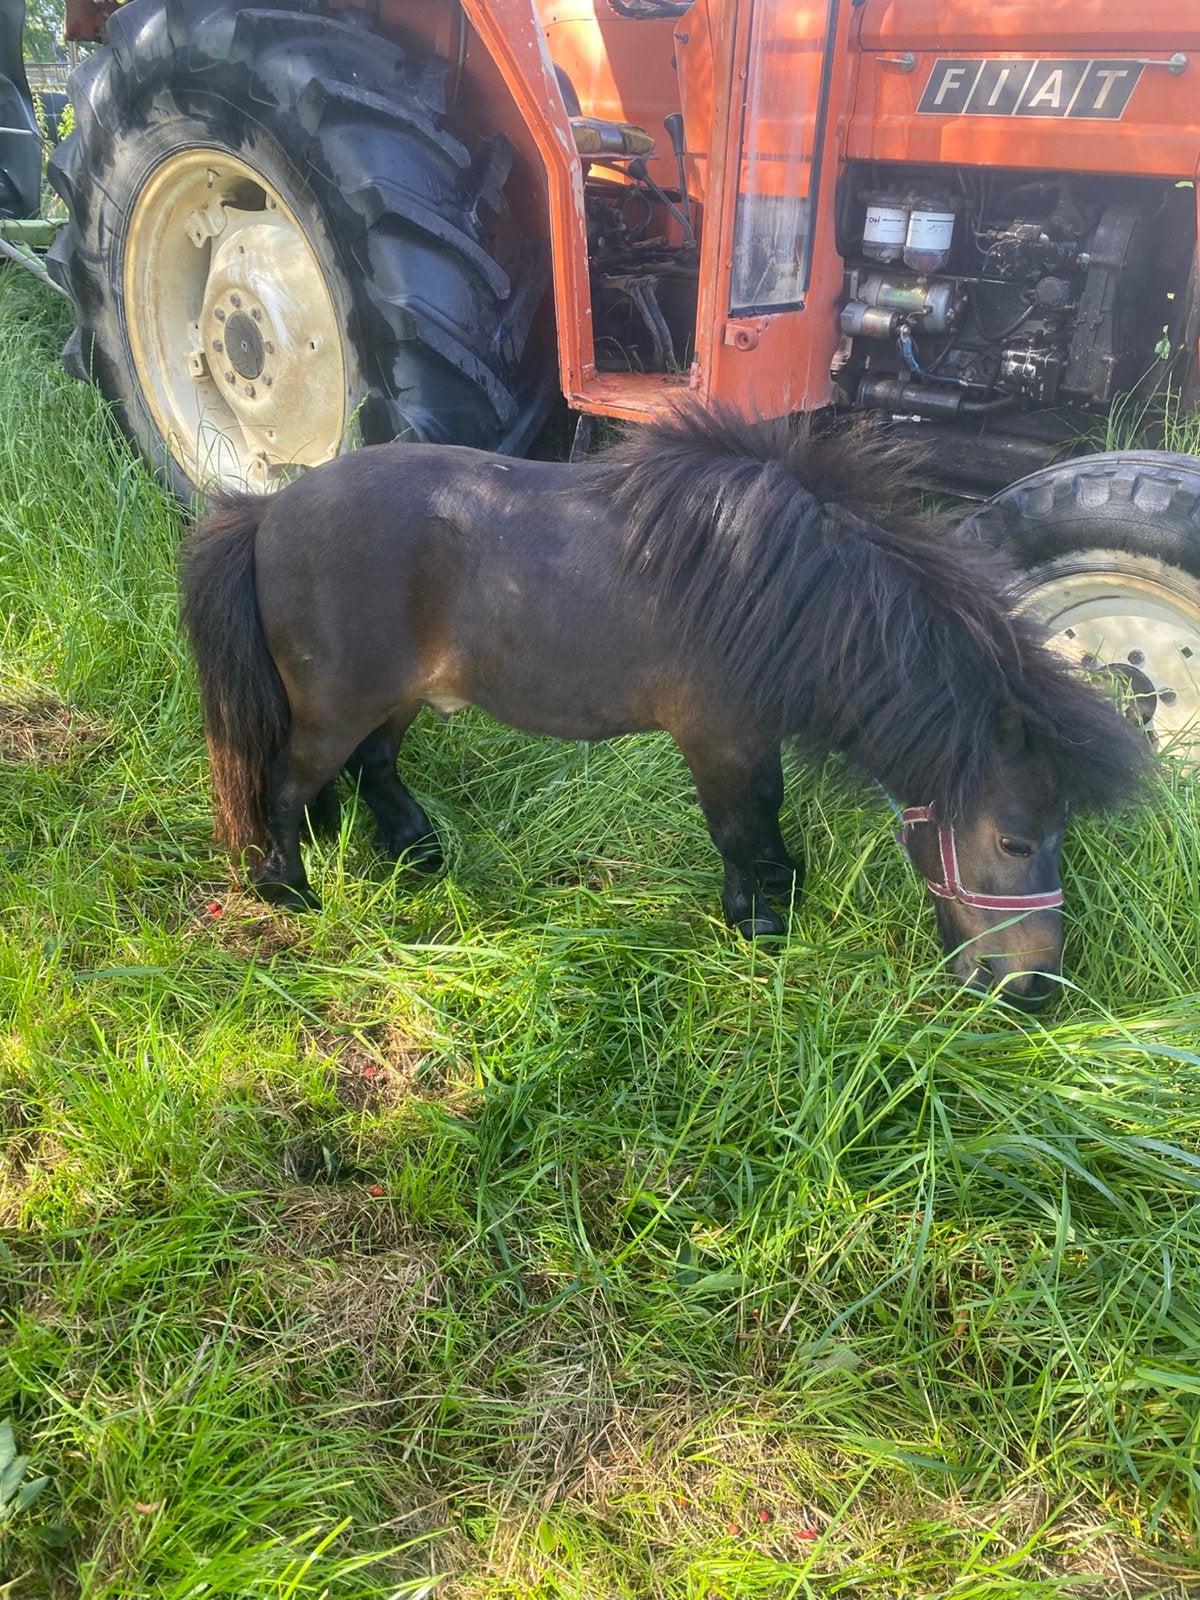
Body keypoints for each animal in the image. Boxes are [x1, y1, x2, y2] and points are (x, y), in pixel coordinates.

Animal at [180, 405, 1149, 1008]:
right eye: (1016, 841)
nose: (1035, 989)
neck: (790, 594)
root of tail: (267, 510)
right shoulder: (716, 738)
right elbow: (741, 826)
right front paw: (758, 924)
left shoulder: (750, 736)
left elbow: (765, 820)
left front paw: (774, 896)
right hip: (333, 707)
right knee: (286, 788)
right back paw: (290, 892)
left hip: (395, 699)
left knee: (374, 767)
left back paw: (416, 852)